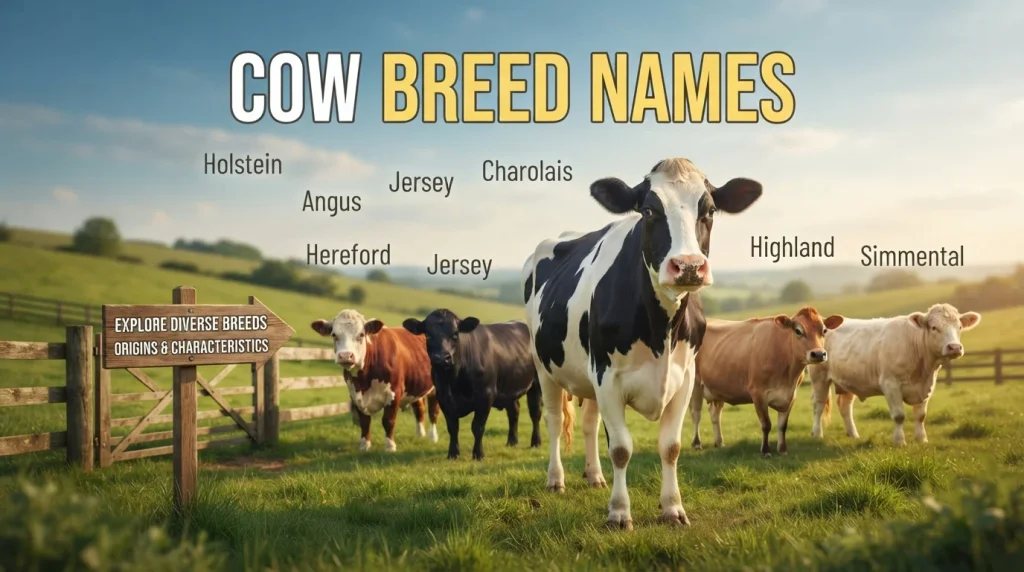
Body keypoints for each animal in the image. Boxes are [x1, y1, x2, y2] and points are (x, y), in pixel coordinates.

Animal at [310, 309, 440, 452]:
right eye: (334, 335)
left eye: (361, 334)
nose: (345, 356)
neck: (364, 381)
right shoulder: (355, 394)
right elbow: (364, 422)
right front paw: (365, 445)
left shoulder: (394, 392)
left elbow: (388, 420)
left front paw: (390, 446)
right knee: (419, 409)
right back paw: (419, 435)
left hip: (436, 388)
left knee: (433, 412)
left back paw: (432, 437)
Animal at [402, 310, 544, 461]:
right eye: (428, 335)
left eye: (455, 334)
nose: (441, 358)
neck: (453, 380)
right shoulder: (443, 397)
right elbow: (452, 427)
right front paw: (453, 453)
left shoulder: (485, 396)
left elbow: (478, 427)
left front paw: (478, 454)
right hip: (509, 387)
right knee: (514, 411)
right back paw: (512, 441)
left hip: (537, 384)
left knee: (535, 412)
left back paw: (536, 442)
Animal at [521, 157, 762, 529]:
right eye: (649, 210)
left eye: (709, 210)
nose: (688, 266)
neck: (661, 330)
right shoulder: (607, 377)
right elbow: (621, 448)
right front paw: (619, 513)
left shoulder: (684, 378)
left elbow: (670, 447)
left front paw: (673, 508)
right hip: (544, 367)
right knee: (553, 421)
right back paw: (555, 480)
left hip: (587, 376)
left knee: (589, 423)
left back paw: (594, 476)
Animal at [689, 307, 844, 457]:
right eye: (798, 331)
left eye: (824, 330)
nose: (818, 354)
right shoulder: (758, 394)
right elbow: (766, 424)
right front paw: (765, 451)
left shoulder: (791, 395)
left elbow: (782, 425)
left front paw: (782, 449)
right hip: (695, 384)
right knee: (696, 414)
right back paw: (697, 444)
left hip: (717, 389)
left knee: (715, 414)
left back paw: (719, 442)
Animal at [808, 303, 982, 446]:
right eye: (934, 327)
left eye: (960, 327)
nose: (955, 347)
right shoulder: (890, 384)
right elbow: (899, 415)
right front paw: (899, 441)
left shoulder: (927, 386)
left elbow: (921, 415)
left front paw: (922, 439)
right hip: (819, 378)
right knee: (819, 405)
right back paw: (817, 434)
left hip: (848, 380)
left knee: (845, 406)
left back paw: (853, 434)